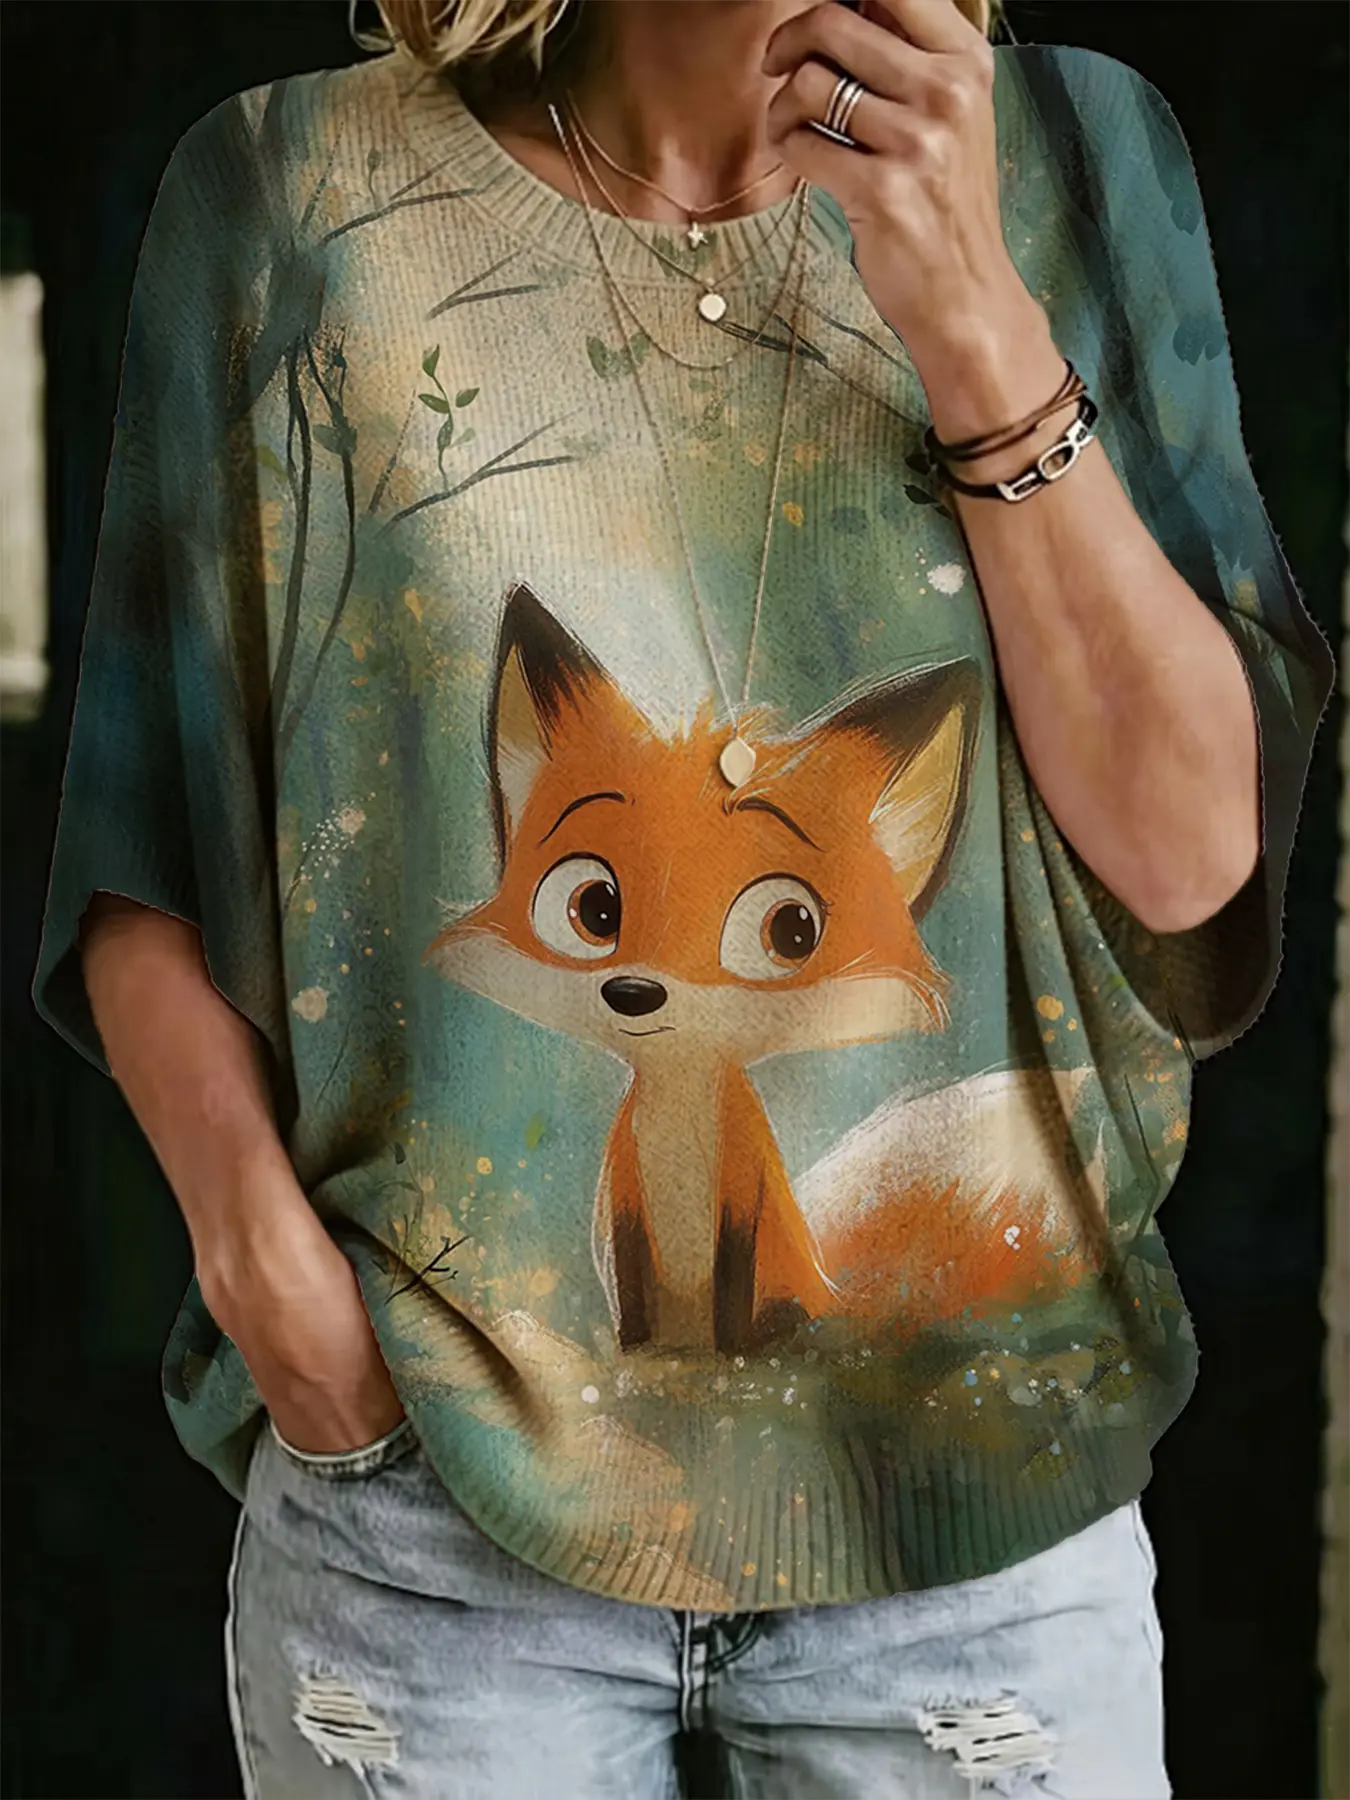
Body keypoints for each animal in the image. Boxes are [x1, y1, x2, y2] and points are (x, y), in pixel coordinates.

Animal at [427, 582, 1098, 1360]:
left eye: (790, 929)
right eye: (595, 908)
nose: (634, 993)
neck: (679, 1124)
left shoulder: (742, 1199)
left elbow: (731, 1295)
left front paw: (728, 1355)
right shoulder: (626, 1208)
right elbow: (634, 1310)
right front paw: (638, 1355)